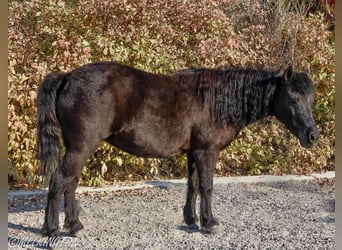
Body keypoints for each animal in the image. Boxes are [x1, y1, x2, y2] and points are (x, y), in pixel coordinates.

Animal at [36, 61, 320, 237]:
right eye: (292, 98)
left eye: (310, 99)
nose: (313, 136)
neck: (215, 100)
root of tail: (67, 77)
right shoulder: (207, 151)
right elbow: (206, 186)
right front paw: (209, 223)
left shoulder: (194, 153)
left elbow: (192, 185)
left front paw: (191, 220)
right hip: (80, 148)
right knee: (59, 181)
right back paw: (52, 231)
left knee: (70, 183)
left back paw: (74, 225)